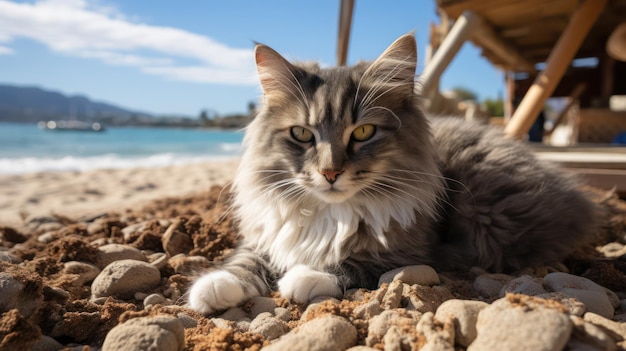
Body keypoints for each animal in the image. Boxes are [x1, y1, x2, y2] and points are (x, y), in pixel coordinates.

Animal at [188, 32, 596, 314]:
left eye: (364, 132)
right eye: (302, 134)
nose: (330, 172)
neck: (331, 213)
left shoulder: (416, 252)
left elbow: (352, 261)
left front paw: (303, 276)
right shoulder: (268, 232)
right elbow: (245, 259)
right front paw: (215, 286)